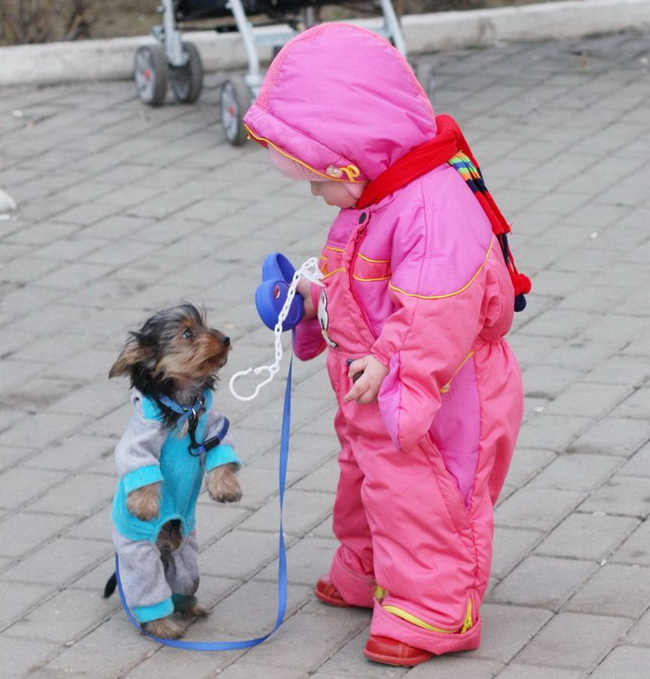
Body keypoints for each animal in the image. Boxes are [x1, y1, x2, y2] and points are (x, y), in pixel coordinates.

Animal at [105, 306, 242, 640]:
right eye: (187, 333)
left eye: (205, 324)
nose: (225, 338)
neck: (184, 406)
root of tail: (162, 547)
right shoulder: (137, 442)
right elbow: (141, 464)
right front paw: (143, 506)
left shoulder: (215, 426)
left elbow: (222, 454)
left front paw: (226, 489)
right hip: (138, 554)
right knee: (148, 591)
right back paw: (162, 625)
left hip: (185, 553)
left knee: (182, 581)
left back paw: (189, 607)